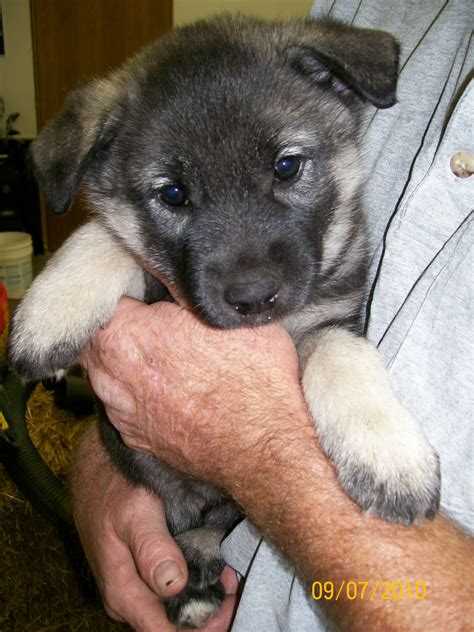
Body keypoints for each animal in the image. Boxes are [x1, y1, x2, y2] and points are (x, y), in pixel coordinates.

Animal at [8, 13, 440, 628]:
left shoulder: (333, 316)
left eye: (287, 166)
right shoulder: (157, 279)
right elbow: (107, 235)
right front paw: (49, 311)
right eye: (173, 194)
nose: (254, 298)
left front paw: (386, 451)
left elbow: (343, 359)